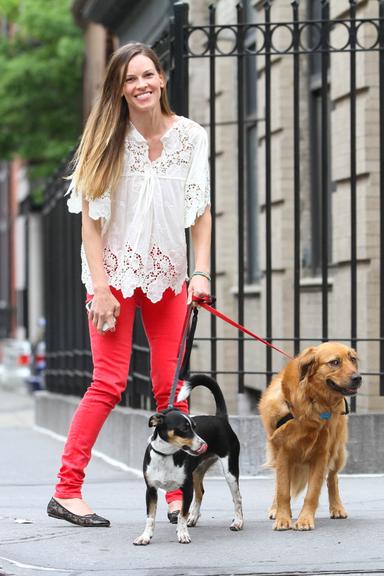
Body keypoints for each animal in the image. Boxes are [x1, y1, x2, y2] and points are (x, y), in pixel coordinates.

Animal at [134, 374, 243, 544]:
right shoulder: (150, 490)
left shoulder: (186, 488)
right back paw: (194, 518)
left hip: (230, 472)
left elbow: (182, 515)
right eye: (184, 428)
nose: (204, 444)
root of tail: (220, 418)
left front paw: (183, 534)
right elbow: (150, 517)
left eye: (195, 427)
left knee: (237, 498)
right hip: (197, 473)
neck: (167, 456)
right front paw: (145, 536)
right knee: (200, 493)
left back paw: (238, 522)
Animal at [260, 342, 362, 532]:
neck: (311, 402)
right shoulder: (283, 453)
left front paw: (305, 519)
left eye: (352, 359)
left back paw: (337, 507)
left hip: (336, 451)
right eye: (335, 362)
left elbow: (312, 492)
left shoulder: (321, 454)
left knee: (333, 478)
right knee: (278, 483)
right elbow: (283, 490)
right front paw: (283, 518)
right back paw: (275, 509)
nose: (358, 378)